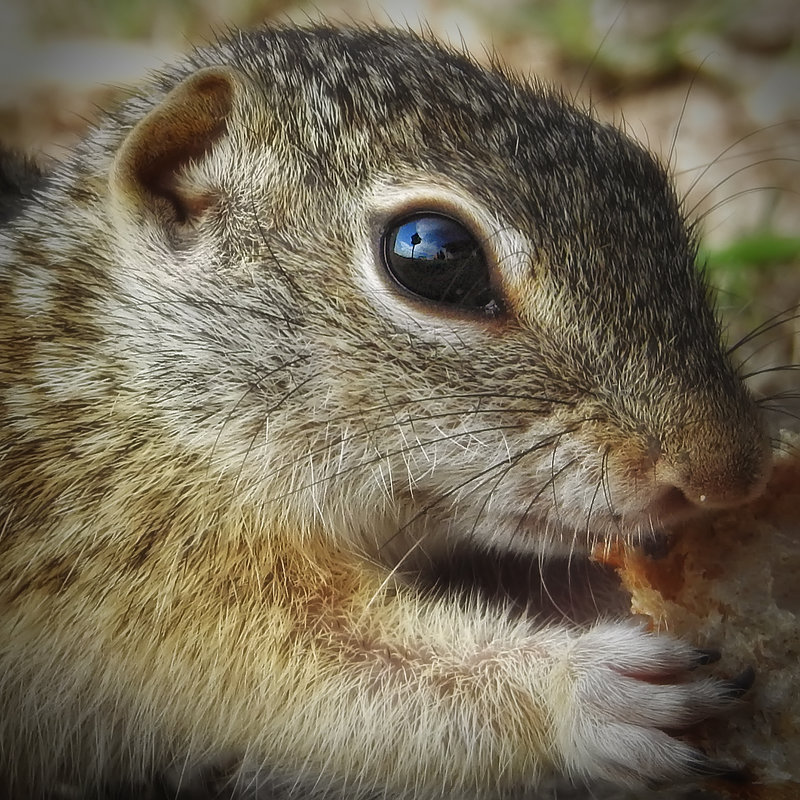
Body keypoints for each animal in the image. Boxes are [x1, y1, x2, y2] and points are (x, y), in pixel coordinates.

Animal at [1, 21, 776, 800]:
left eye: (644, 173)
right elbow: (314, 670)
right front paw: (581, 693)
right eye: (432, 255)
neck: (122, 385)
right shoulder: (130, 562)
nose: (733, 472)